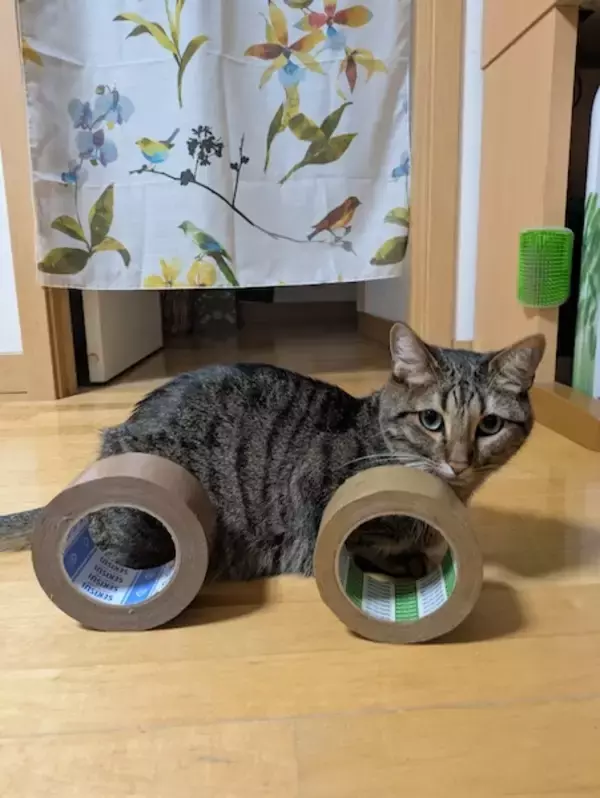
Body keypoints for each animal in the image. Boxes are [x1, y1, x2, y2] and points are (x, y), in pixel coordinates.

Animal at [0, 323, 545, 581]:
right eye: (432, 420)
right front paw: (404, 560)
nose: (459, 462)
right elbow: (359, 546)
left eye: (490, 425)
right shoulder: (311, 497)